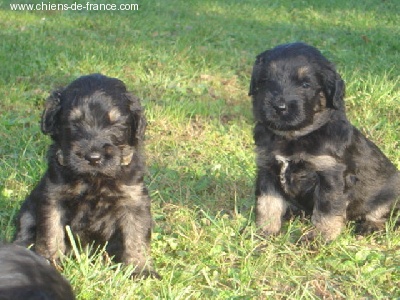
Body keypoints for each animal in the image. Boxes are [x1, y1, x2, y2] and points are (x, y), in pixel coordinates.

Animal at [14, 74, 158, 278]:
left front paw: (140, 269)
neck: (94, 179)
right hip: (28, 207)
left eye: (115, 123)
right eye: (74, 122)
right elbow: (51, 233)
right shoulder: (53, 198)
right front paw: (50, 262)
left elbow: (136, 236)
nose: (93, 157)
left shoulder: (134, 200)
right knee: (24, 230)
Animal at [250, 42, 400, 240]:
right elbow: (268, 204)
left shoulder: (331, 174)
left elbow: (326, 209)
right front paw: (264, 232)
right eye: (266, 80)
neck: (295, 136)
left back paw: (370, 226)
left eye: (305, 84)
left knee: (383, 213)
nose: (279, 107)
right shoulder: (267, 169)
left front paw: (319, 237)